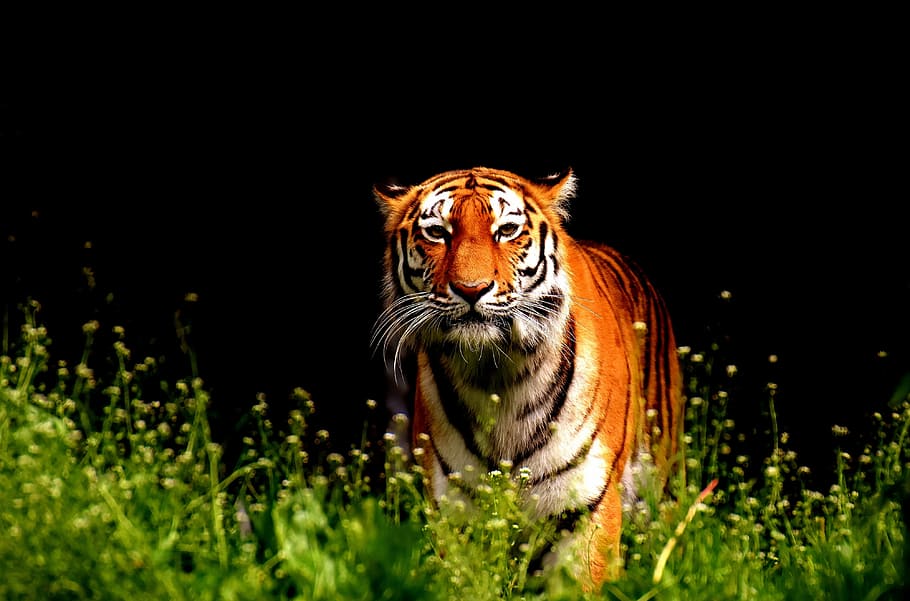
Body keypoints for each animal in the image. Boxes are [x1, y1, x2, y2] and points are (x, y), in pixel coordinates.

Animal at [371, 166, 683, 587]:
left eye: (506, 230)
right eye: (437, 232)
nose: (471, 289)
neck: (495, 377)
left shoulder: (587, 506)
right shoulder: (453, 512)